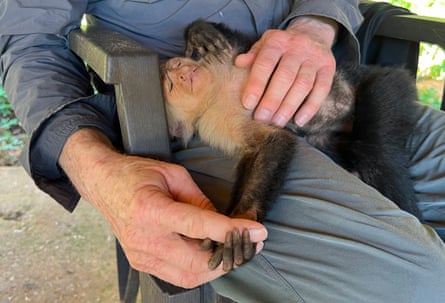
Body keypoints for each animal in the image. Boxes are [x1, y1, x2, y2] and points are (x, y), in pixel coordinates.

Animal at [160, 20, 420, 274]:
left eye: (175, 68)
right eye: (171, 85)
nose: (181, 71)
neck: (216, 90)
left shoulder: (227, 59)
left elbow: (249, 46)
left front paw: (200, 33)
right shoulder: (212, 122)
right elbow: (265, 144)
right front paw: (239, 228)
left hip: (385, 85)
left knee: (377, 154)